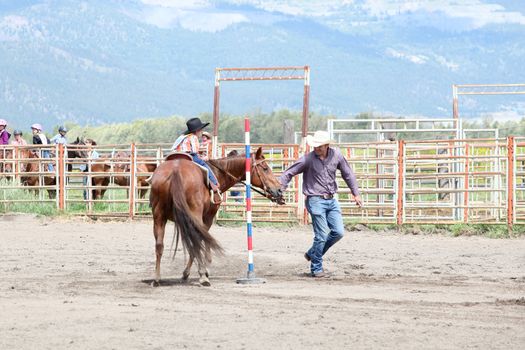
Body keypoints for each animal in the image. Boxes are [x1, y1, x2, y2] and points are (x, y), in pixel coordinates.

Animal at [149, 146, 284, 286]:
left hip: (158, 216)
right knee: (195, 242)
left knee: (159, 245)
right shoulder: (208, 217)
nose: (279, 189)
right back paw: (203, 277)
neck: (218, 173)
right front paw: (200, 271)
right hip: (192, 215)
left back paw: (157, 278)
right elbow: (203, 240)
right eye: (265, 168)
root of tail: (175, 170)